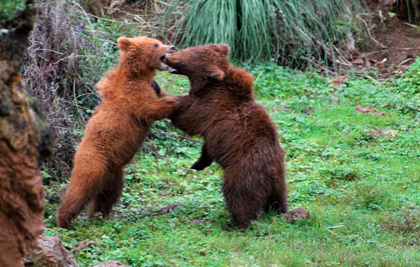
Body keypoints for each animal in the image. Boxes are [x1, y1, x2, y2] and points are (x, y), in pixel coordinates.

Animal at [162, 44, 288, 230]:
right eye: (186, 48)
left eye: (182, 60)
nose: (165, 56)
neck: (210, 85)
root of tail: (271, 171)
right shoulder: (214, 130)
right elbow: (206, 148)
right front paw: (198, 164)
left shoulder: (209, 108)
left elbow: (187, 118)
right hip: (280, 181)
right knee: (279, 200)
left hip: (243, 174)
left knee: (239, 199)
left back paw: (235, 225)